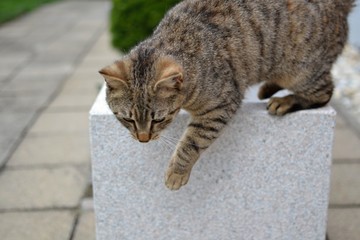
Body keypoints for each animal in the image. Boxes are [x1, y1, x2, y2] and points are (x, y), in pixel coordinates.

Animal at [99, 0, 354, 190]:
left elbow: (191, 142)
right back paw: (266, 88)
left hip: (301, 73)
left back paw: (283, 101)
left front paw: (176, 173)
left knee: (324, 92)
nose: (143, 138)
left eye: (158, 119)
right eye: (127, 119)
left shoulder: (220, 105)